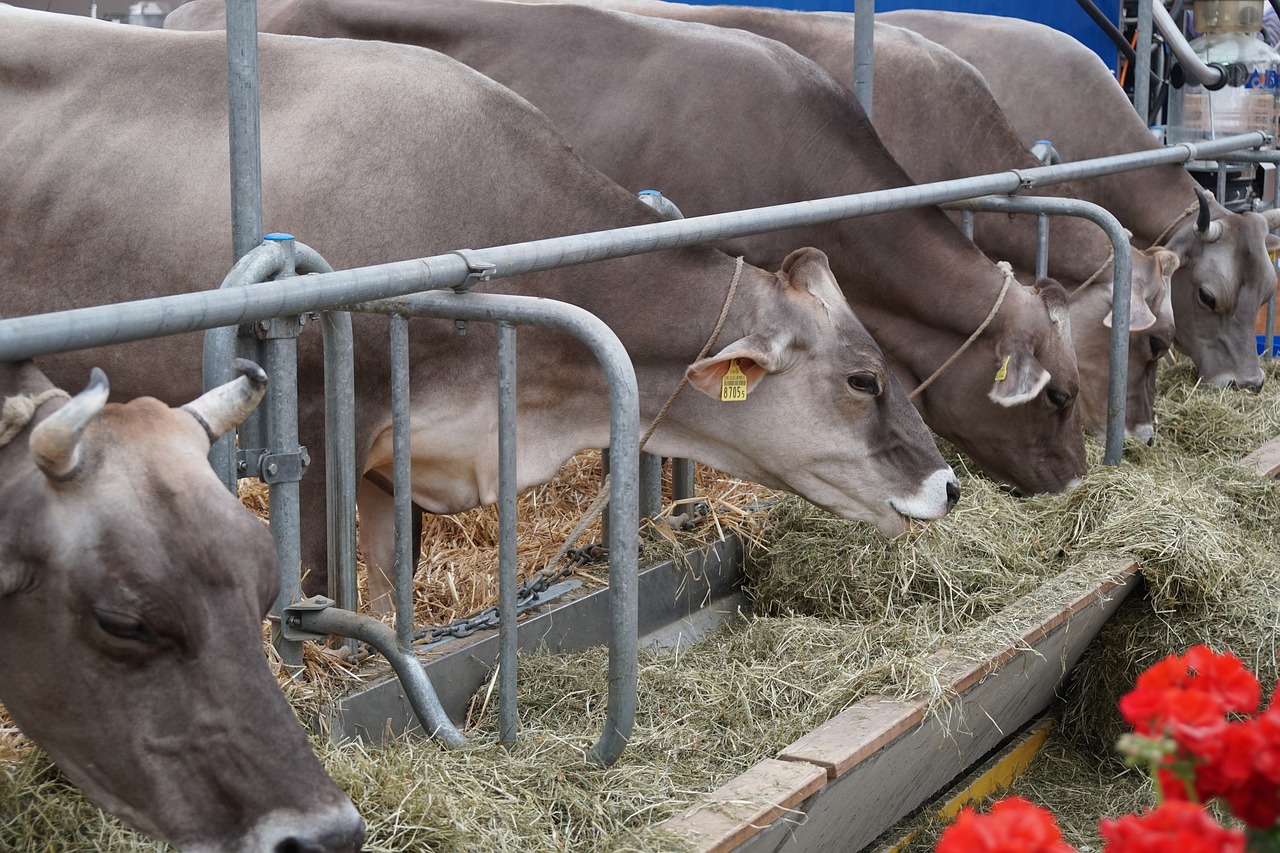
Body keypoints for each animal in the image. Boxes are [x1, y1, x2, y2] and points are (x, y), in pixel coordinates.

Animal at [0, 6, 957, 604]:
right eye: (865, 379)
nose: (948, 486)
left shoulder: (399, 454)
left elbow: (391, 585)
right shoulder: (314, 417)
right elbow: (318, 585)